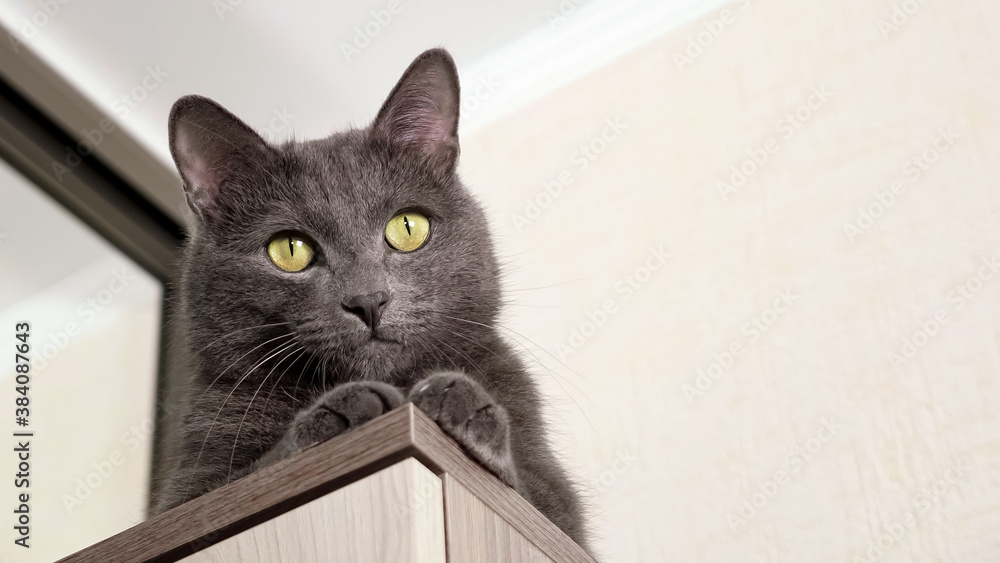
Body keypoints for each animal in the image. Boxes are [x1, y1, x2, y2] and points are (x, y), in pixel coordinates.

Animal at [152, 49, 588, 552]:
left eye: (408, 227)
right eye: (289, 249)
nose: (368, 300)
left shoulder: (559, 510)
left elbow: (539, 503)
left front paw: (459, 398)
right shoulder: (184, 499)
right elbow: (243, 484)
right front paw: (339, 413)